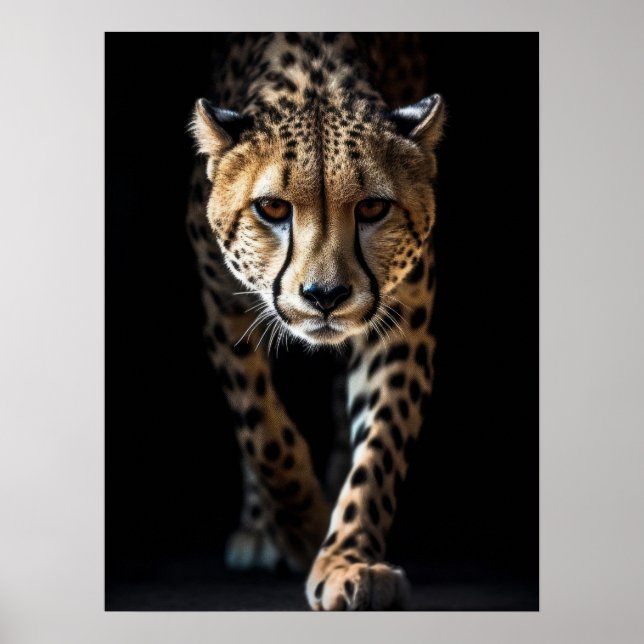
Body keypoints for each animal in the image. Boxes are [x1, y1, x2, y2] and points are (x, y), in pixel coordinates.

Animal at [186, 32, 444, 611]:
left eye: (372, 208)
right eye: (272, 208)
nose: (325, 296)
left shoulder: (403, 317)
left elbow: (379, 446)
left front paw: (348, 558)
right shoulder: (223, 305)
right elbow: (263, 432)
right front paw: (302, 530)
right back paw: (260, 528)